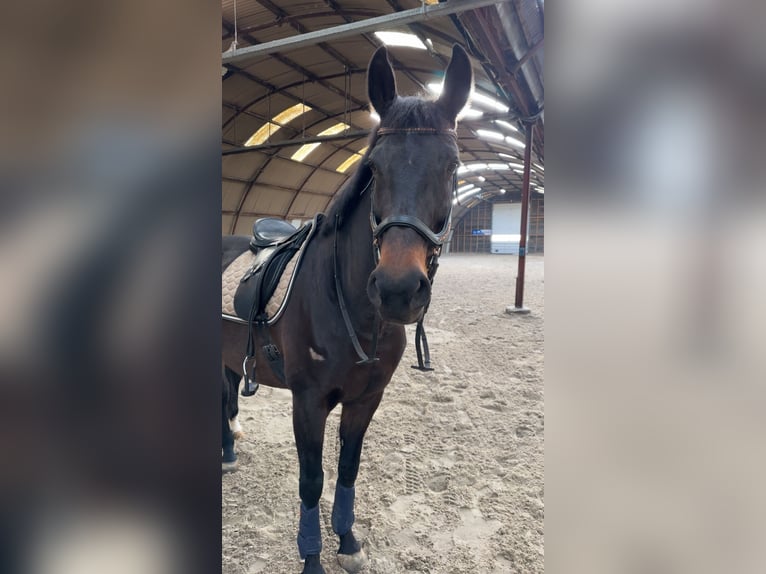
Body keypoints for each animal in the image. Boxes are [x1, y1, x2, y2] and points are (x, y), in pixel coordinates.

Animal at [222, 44, 473, 574]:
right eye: (374, 168)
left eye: (452, 167)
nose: (398, 289)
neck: (355, 313)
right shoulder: (308, 401)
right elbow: (311, 481)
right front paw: (313, 557)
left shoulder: (365, 399)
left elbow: (348, 469)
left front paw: (348, 541)